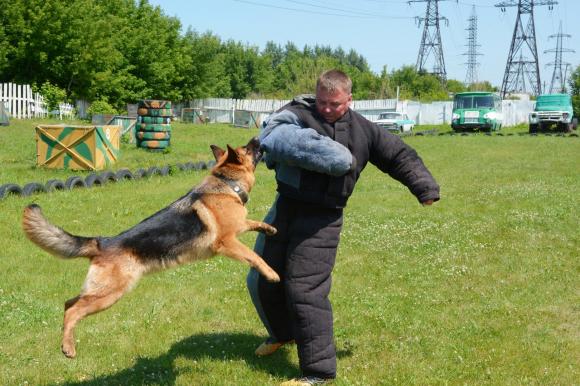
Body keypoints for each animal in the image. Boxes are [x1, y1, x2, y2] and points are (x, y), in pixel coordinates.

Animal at [23, 137, 282, 358]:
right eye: (246, 148)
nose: (258, 138)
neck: (226, 184)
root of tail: (103, 242)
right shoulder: (227, 242)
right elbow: (254, 257)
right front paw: (271, 273)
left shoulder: (238, 227)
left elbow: (252, 222)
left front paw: (269, 229)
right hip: (110, 293)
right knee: (73, 310)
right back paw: (68, 347)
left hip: (99, 291)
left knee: (69, 303)